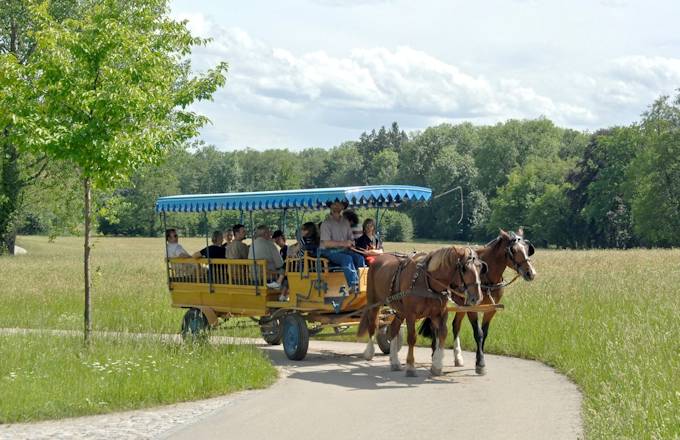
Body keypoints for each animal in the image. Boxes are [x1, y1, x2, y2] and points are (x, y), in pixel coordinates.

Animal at [358, 246, 486, 376]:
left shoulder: (439, 313)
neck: (428, 282)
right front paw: (410, 366)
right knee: (373, 325)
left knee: (393, 327)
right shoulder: (411, 314)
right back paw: (369, 352)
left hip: (400, 309)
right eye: (464, 268)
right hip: (374, 302)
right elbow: (412, 338)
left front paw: (437, 365)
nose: (477, 297)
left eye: (480, 267)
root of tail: (379, 258)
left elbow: (443, 333)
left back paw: (394, 361)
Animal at [420, 227, 536, 374]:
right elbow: (478, 333)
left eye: (527, 248)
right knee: (435, 327)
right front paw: (480, 363)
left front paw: (478, 359)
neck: (487, 277)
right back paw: (435, 354)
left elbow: (484, 333)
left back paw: (458, 357)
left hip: (460, 305)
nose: (531, 273)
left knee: (455, 325)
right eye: (513, 250)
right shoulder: (472, 307)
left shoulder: (491, 309)